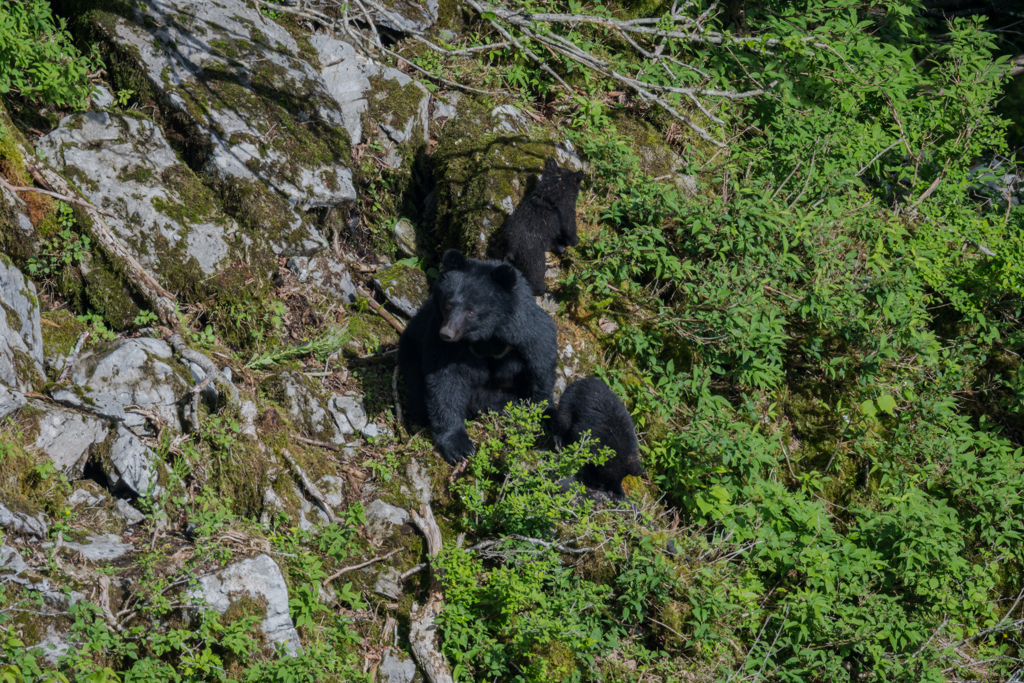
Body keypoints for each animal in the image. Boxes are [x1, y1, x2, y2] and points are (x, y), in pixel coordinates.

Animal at [399, 249, 561, 464]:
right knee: (417, 389)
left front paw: (547, 416)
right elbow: (445, 381)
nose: (447, 334)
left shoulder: (525, 330)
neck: (487, 335)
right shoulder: (439, 335)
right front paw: (459, 447)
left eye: (471, 311)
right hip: (410, 352)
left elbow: (540, 361)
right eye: (448, 304)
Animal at [503, 157, 585, 296]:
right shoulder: (564, 207)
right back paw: (541, 288)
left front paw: (559, 246)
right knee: (537, 269)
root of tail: (513, 247)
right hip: (533, 251)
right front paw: (575, 240)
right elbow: (568, 224)